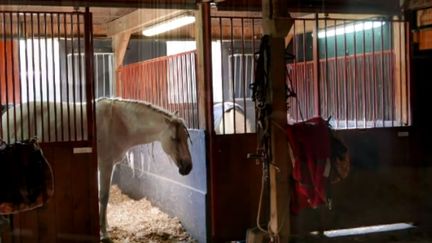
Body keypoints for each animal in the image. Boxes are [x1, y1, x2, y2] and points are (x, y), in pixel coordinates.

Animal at [0, 98, 192, 242]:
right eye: (175, 138)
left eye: (187, 137)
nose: (188, 167)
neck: (119, 123)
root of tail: (7, 116)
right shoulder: (105, 165)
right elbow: (104, 196)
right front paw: (104, 234)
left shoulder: (107, 166)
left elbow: (102, 196)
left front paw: (105, 226)